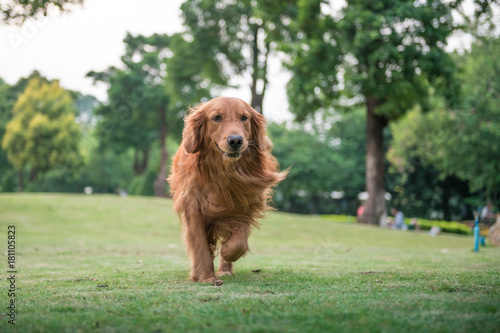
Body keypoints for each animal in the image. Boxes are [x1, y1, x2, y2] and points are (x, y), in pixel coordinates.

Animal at [167, 96, 286, 286]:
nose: (235, 140)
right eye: (217, 118)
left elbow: (239, 241)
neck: (224, 173)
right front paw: (207, 277)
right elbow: (200, 246)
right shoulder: (193, 208)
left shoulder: (244, 205)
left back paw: (225, 269)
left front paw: (227, 253)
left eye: (244, 118)